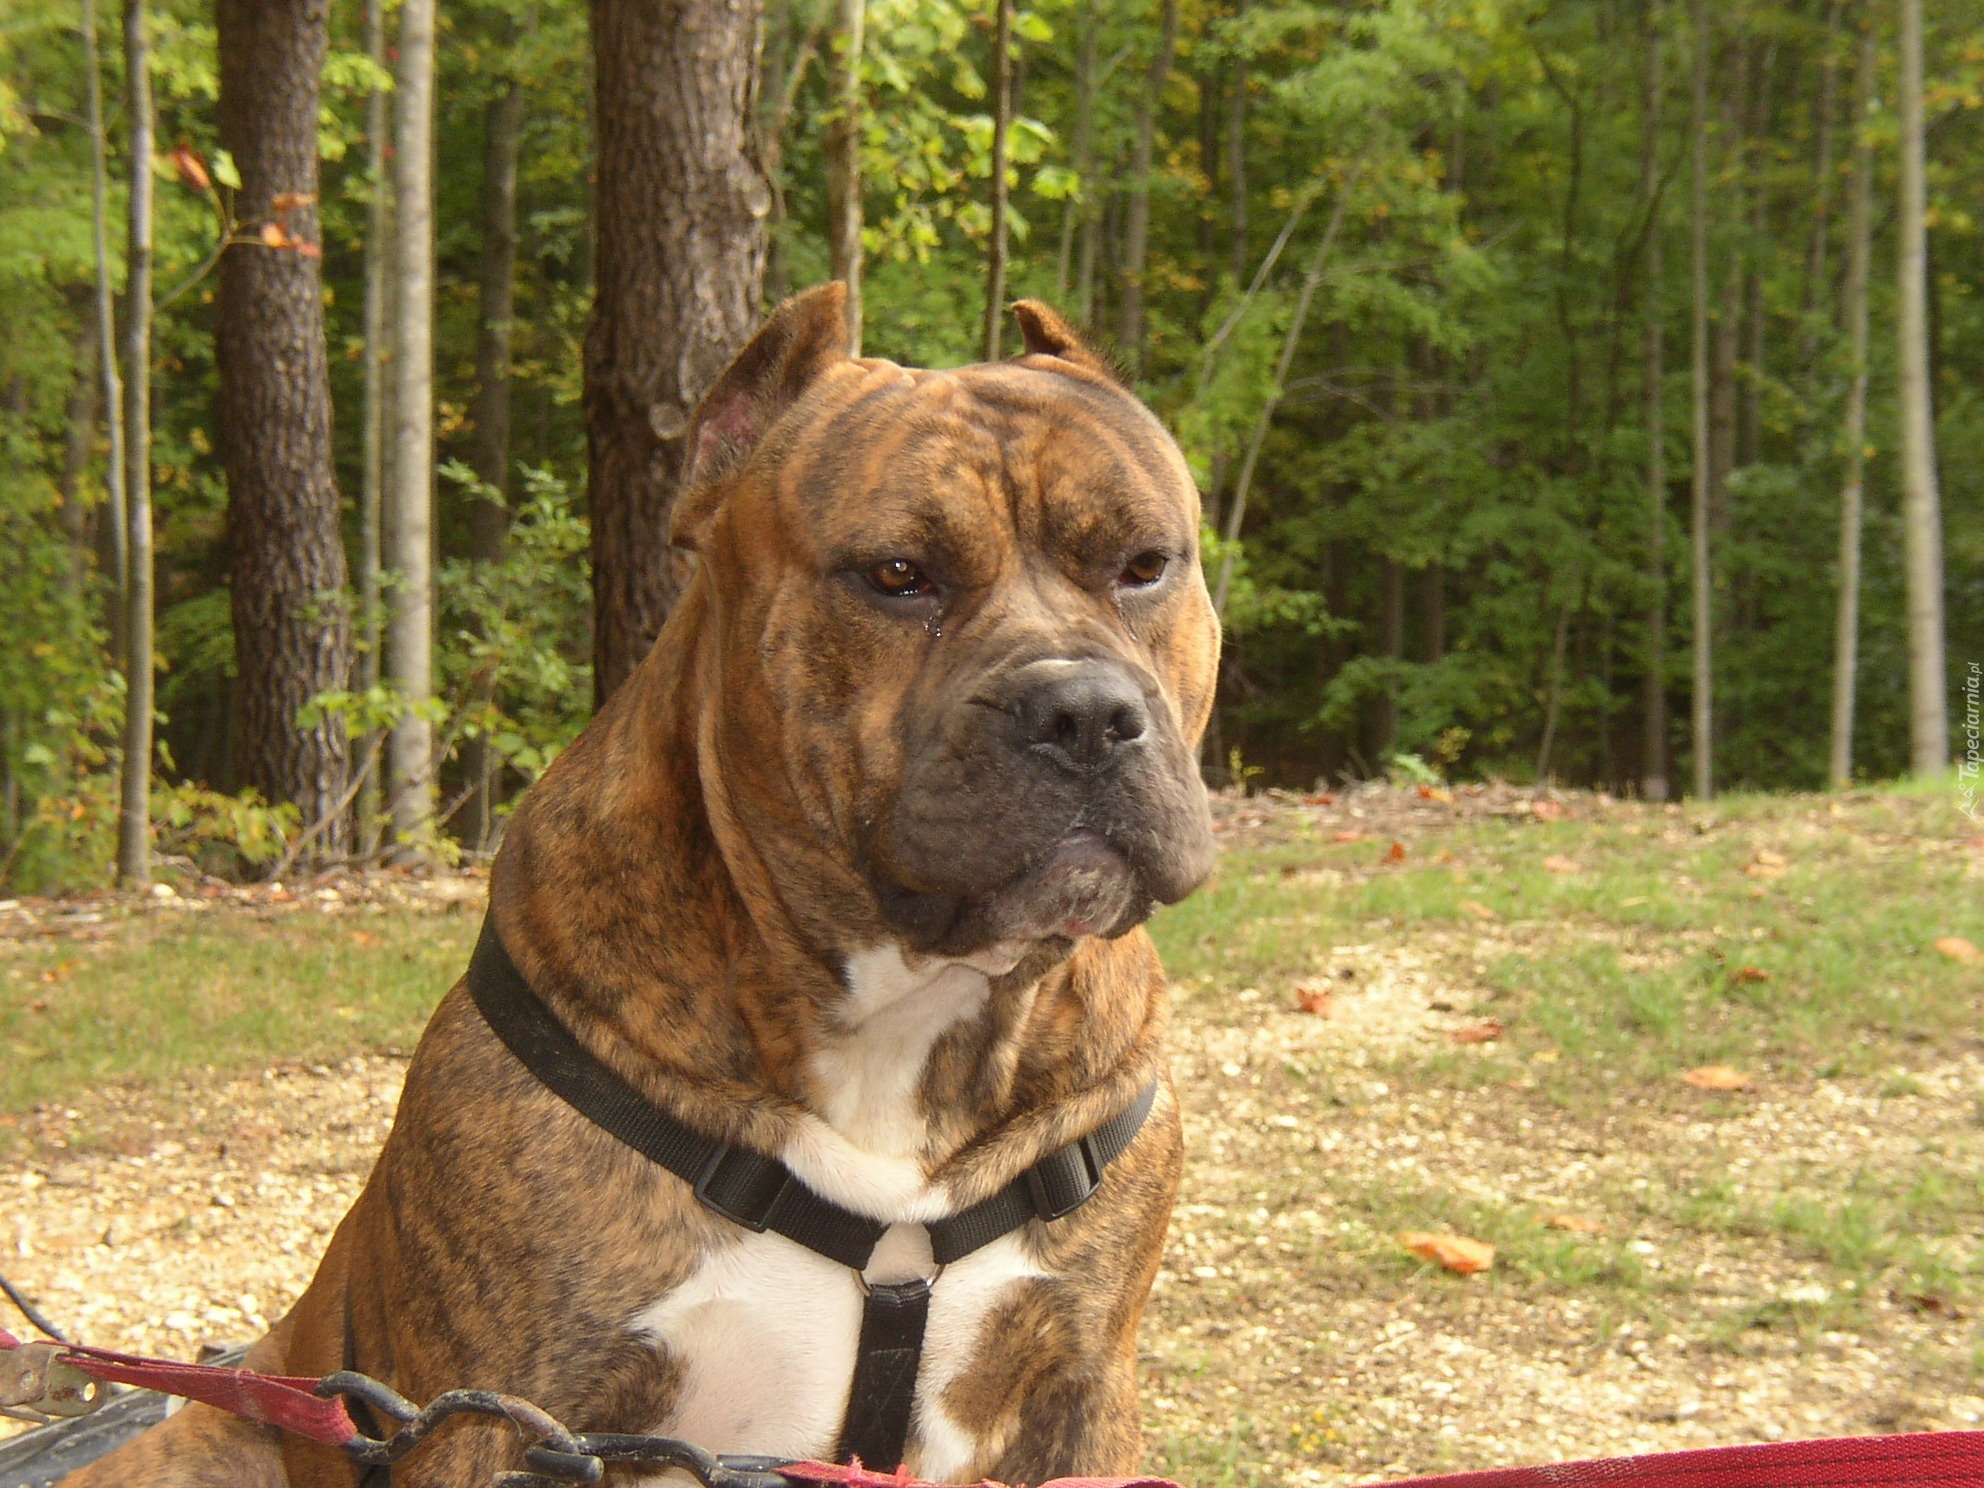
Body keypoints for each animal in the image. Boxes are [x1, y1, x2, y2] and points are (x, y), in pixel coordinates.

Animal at [65, 287, 1222, 1488]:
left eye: (1145, 563)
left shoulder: (1081, 1389)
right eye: (898, 576)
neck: (908, 1025)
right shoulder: (499, 1415)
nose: (1083, 712)